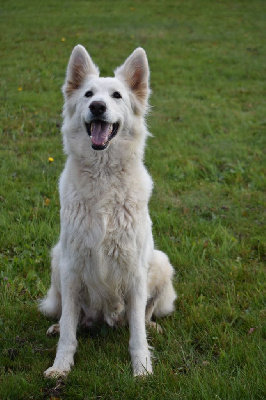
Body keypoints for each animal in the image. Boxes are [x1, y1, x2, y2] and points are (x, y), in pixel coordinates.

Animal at [39, 44, 177, 378]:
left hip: (161, 262)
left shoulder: (136, 271)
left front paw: (142, 368)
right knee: (70, 316)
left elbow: (137, 332)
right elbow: (69, 330)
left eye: (116, 96)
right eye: (88, 94)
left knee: (144, 315)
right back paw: (57, 326)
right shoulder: (72, 266)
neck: (103, 178)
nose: (98, 106)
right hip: (57, 258)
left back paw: (152, 328)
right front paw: (61, 367)